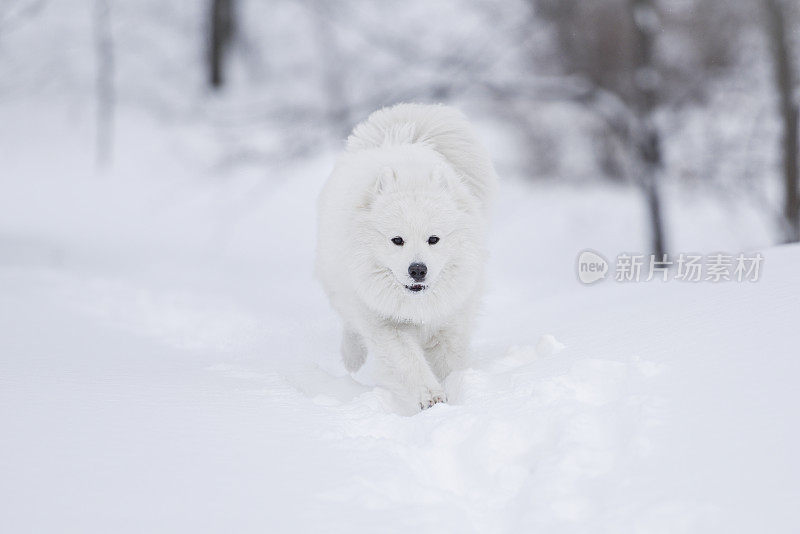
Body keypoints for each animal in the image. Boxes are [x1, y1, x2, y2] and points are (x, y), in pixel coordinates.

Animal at [316, 104, 496, 412]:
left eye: (433, 239)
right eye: (397, 240)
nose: (417, 270)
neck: (417, 306)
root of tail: (401, 138)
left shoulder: (450, 322)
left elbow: (451, 363)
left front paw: (456, 393)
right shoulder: (385, 324)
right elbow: (408, 363)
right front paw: (431, 398)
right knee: (350, 324)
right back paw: (352, 359)